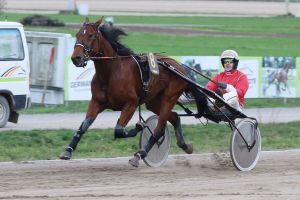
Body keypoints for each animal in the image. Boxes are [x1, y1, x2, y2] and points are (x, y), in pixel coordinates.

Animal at [59, 17, 206, 167]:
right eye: (77, 34)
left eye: (90, 35)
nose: (76, 58)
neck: (111, 72)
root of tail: (179, 68)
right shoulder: (97, 102)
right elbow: (84, 126)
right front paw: (68, 150)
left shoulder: (132, 103)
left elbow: (119, 130)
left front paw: (140, 127)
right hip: (153, 101)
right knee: (175, 117)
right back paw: (185, 145)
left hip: (169, 97)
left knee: (159, 128)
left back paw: (140, 154)